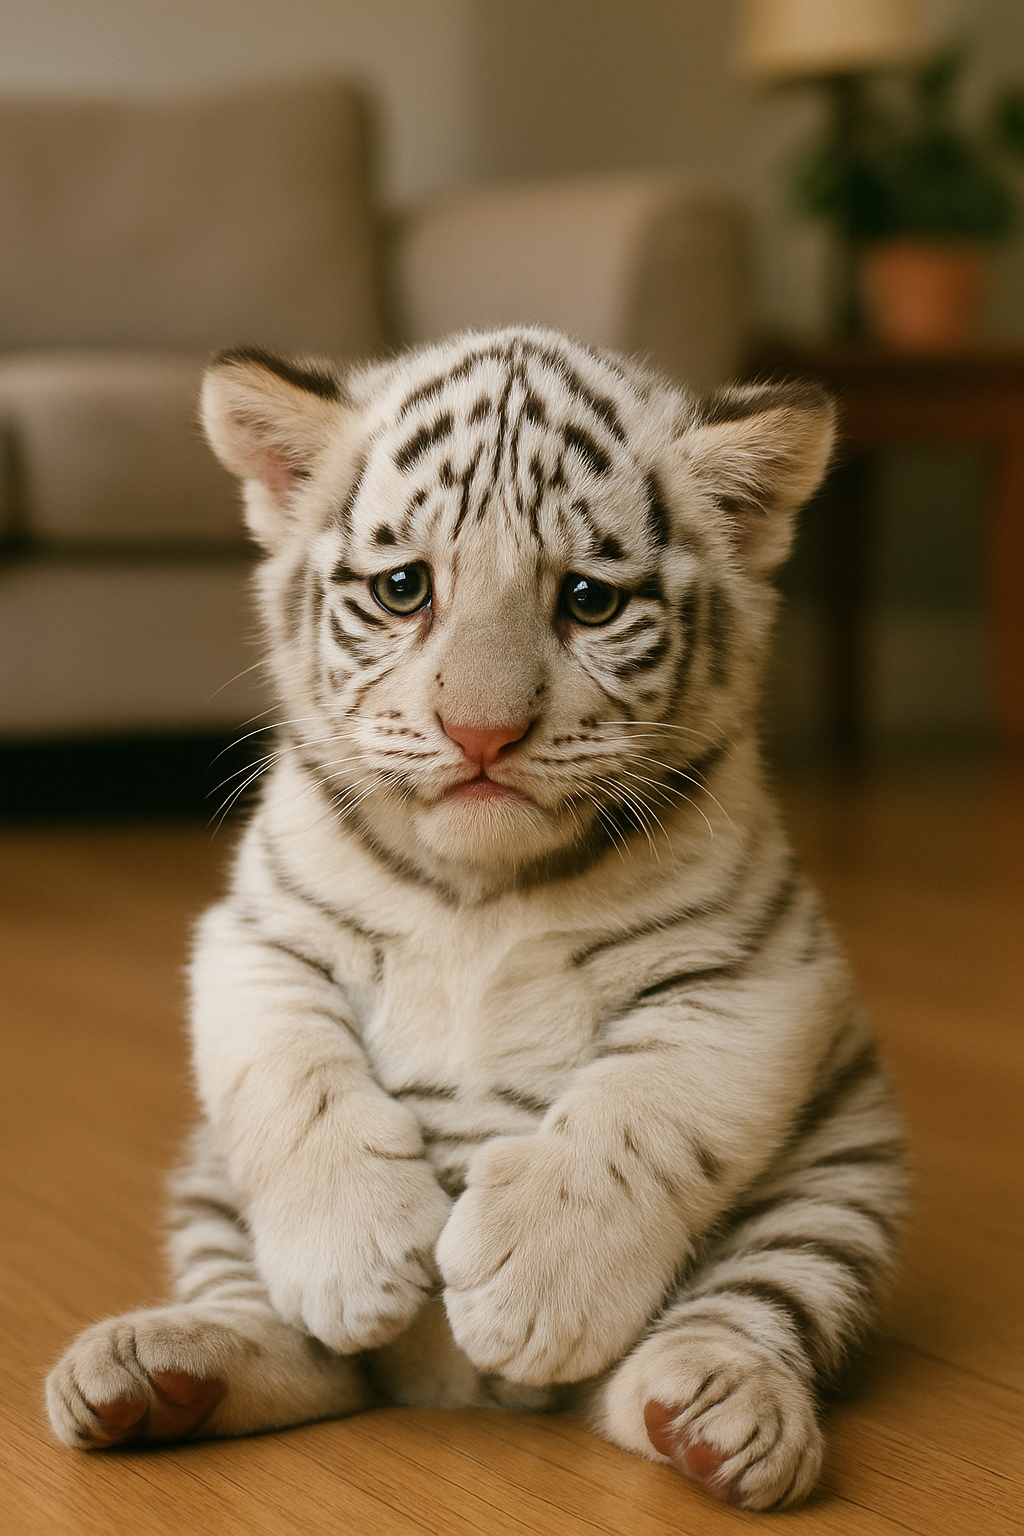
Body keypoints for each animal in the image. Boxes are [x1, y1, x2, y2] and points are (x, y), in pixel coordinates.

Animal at [46, 327, 907, 1511]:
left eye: (588, 600)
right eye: (405, 588)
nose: (482, 733)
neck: (478, 888)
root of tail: (452, 1389)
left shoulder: (755, 974)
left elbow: (638, 1110)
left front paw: (531, 1289)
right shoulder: (256, 939)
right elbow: (296, 1081)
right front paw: (355, 1259)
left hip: (834, 1179)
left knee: (739, 1313)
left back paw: (718, 1413)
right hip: (210, 1173)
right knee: (298, 1347)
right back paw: (154, 1376)